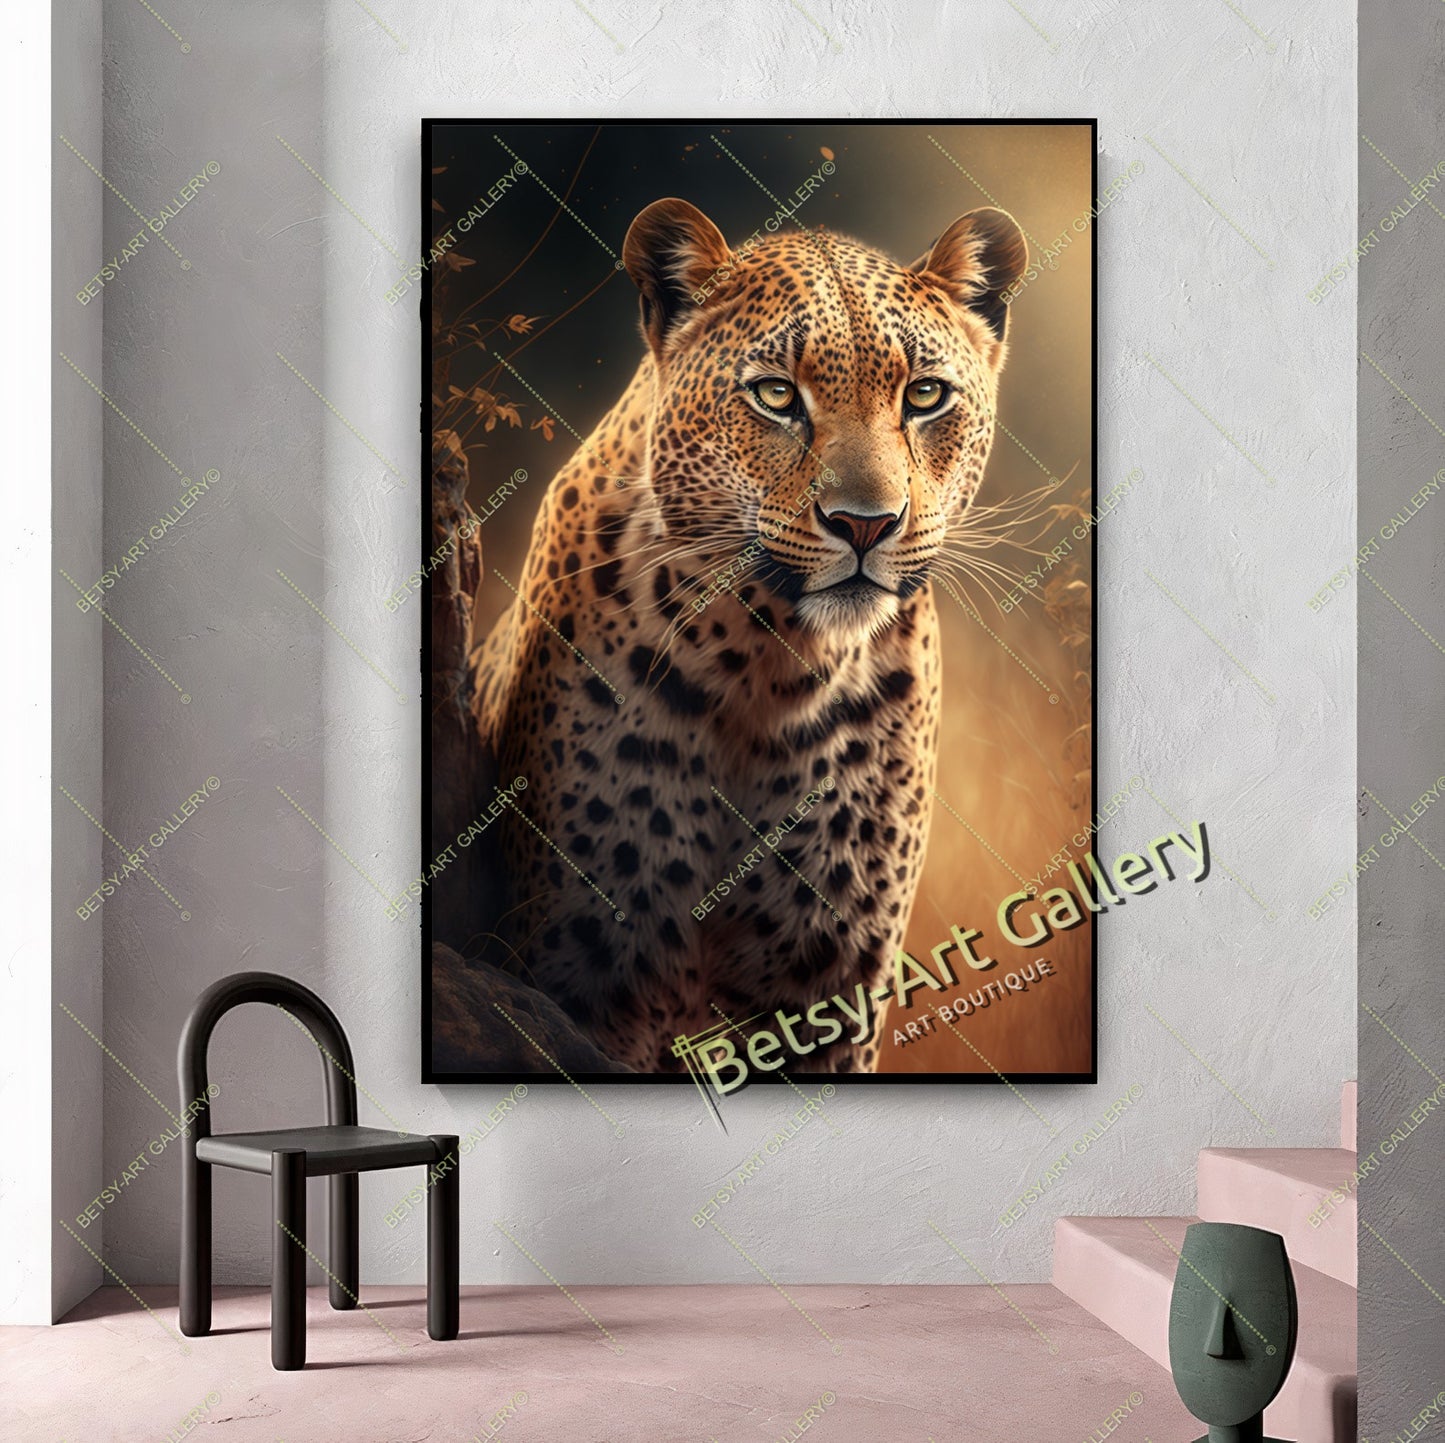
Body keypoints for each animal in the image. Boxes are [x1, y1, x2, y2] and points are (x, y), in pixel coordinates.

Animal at [468, 196, 1028, 1080]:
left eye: (924, 395)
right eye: (774, 395)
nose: (864, 524)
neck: (771, 662)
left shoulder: (832, 995)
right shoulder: (586, 968)